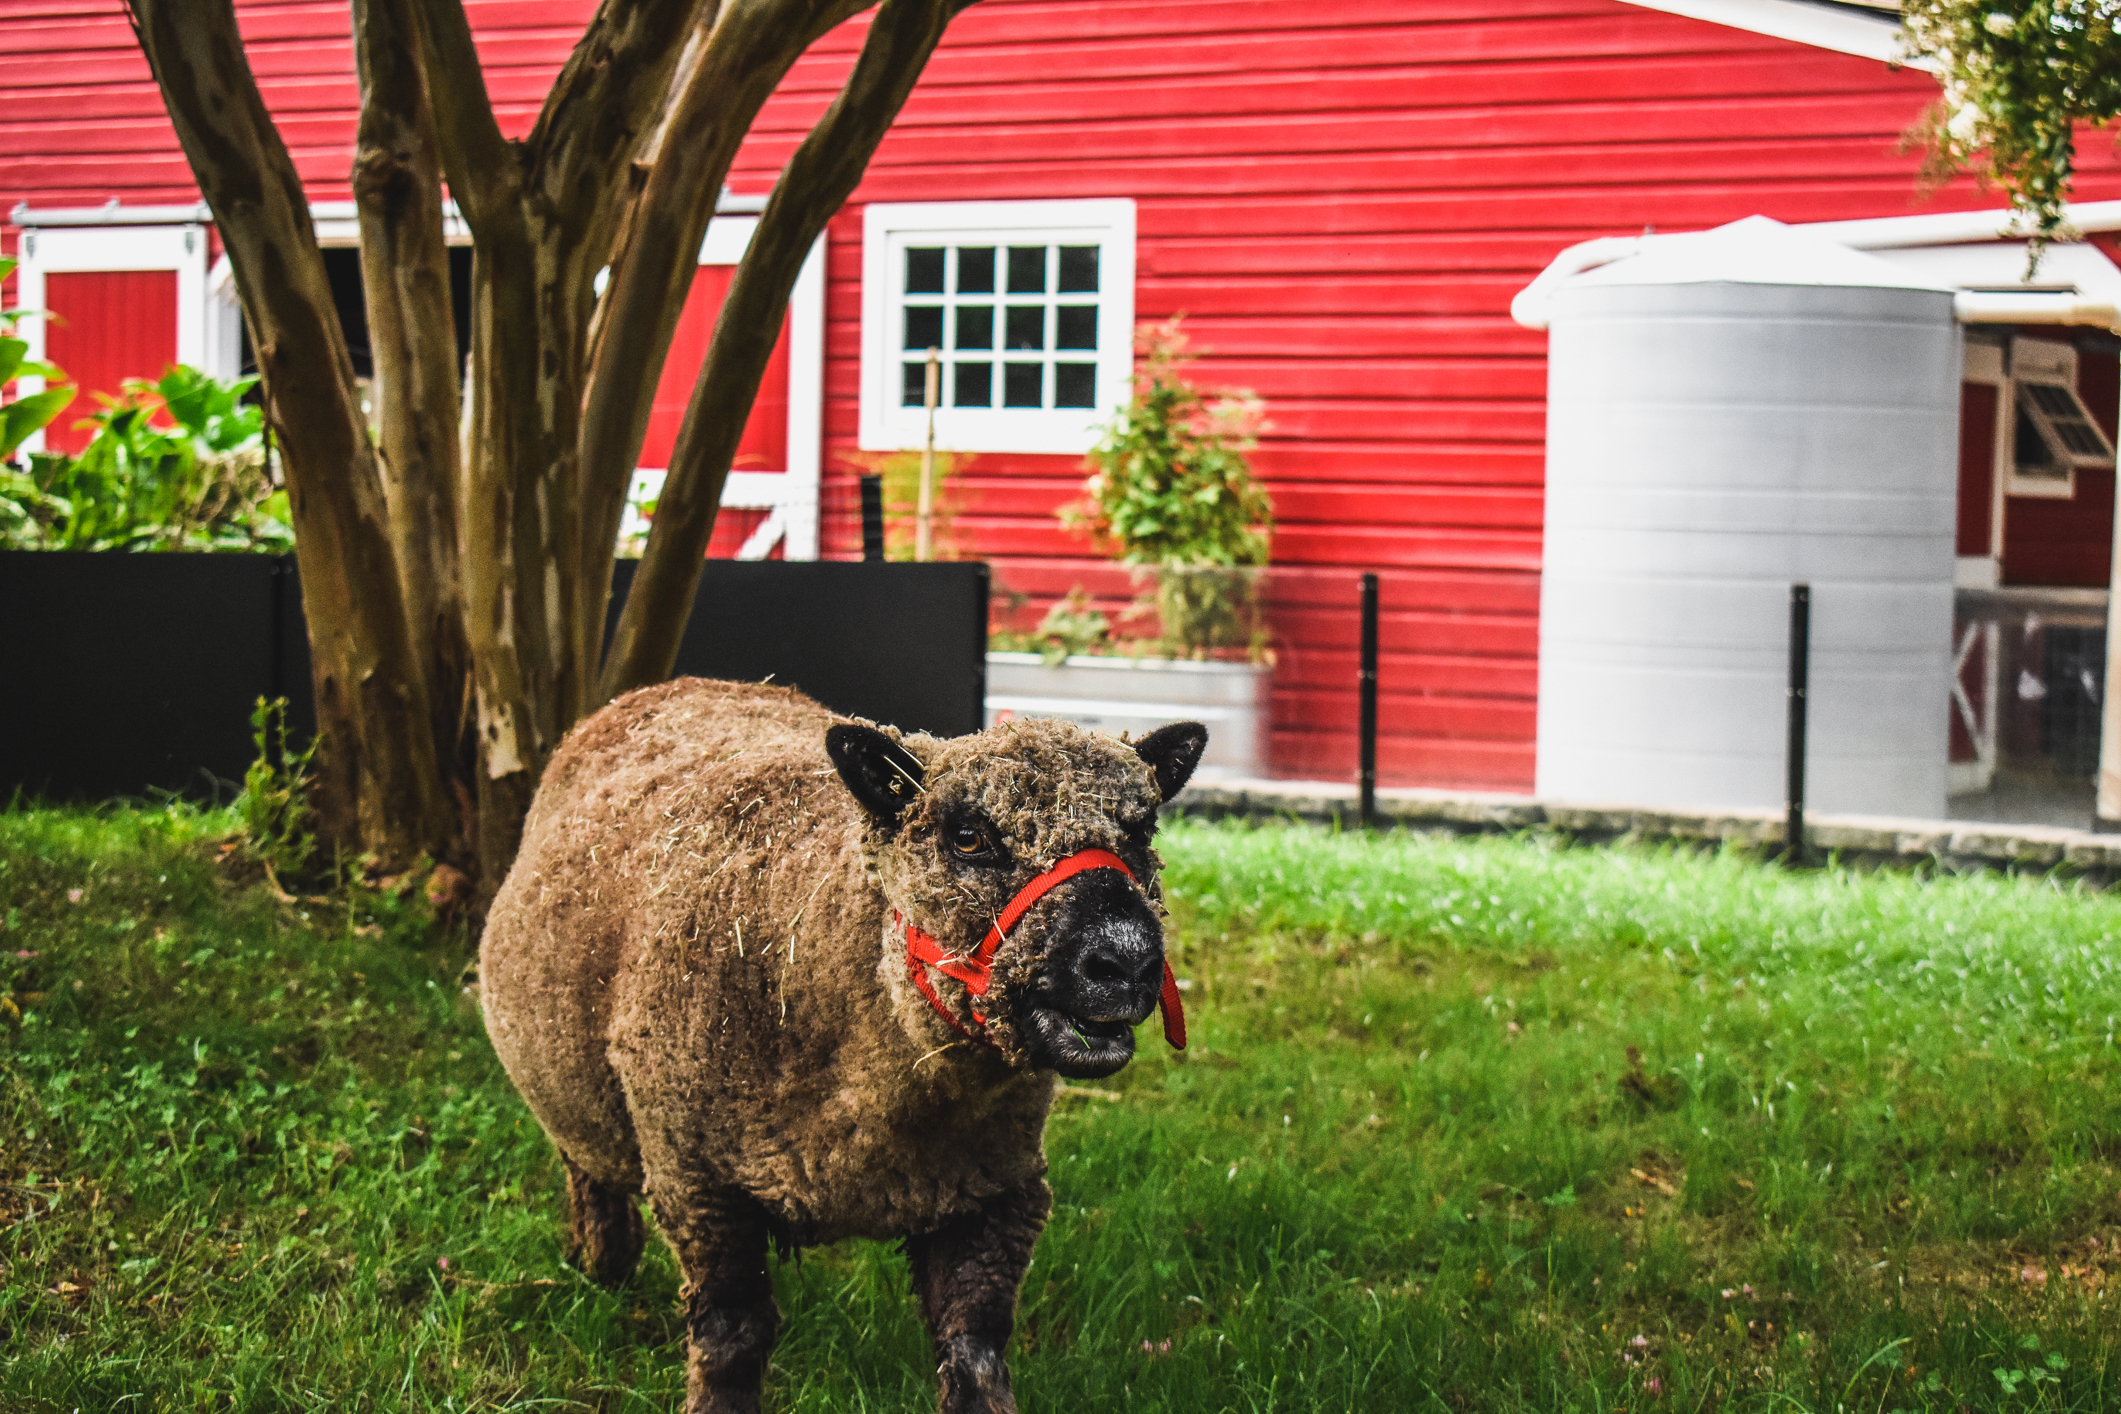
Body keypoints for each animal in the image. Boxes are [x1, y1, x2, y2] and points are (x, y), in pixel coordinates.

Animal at [479, 677, 1207, 1414]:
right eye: (968, 837)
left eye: (1141, 829)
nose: (1127, 960)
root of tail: (674, 685)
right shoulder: (699, 1185)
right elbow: (731, 1337)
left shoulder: (994, 1198)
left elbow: (974, 1353)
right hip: (578, 1103)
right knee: (590, 1175)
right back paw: (600, 1270)